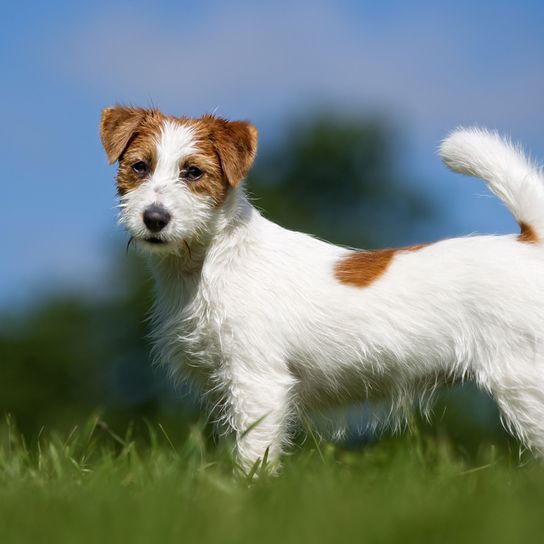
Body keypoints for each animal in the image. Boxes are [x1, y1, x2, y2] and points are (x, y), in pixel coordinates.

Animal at [101, 107, 544, 472]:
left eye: (193, 172)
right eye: (139, 167)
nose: (154, 218)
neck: (210, 259)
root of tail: (531, 242)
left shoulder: (257, 382)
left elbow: (254, 453)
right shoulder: (228, 388)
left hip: (523, 380)